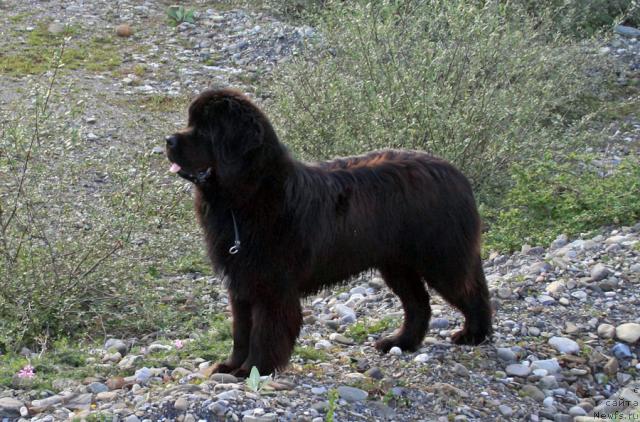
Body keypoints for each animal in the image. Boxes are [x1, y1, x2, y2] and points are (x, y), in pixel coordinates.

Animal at [168, 88, 492, 376]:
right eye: (190, 124)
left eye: (205, 130)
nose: (168, 140)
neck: (245, 198)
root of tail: (455, 173)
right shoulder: (242, 283)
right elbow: (241, 331)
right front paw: (230, 366)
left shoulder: (272, 287)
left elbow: (264, 332)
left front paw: (252, 370)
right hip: (397, 265)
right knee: (419, 304)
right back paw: (400, 342)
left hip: (441, 259)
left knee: (472, 291)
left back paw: (474, 335)